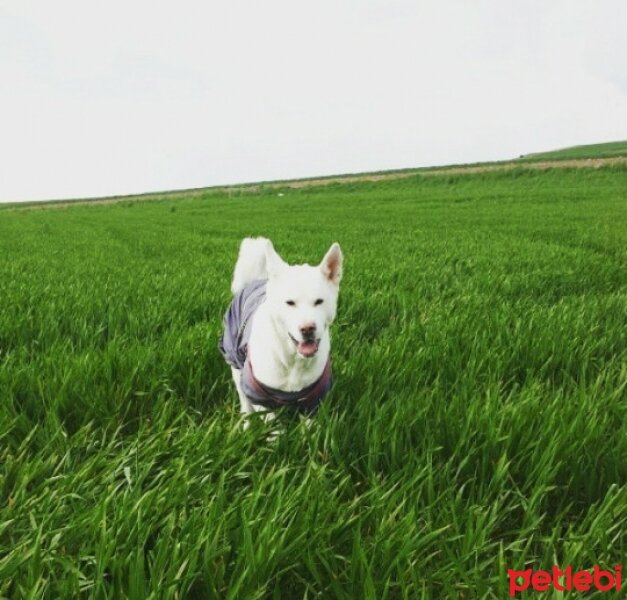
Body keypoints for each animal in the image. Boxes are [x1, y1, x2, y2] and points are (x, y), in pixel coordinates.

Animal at [217, 239, 344, 422]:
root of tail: (257, 281)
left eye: (319, 301)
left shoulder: (312, 400)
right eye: (290, 302)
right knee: (244, 400)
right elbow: (271, 426)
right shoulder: (261, 399)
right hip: (235, 361)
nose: (307, 328)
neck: (293, 360)